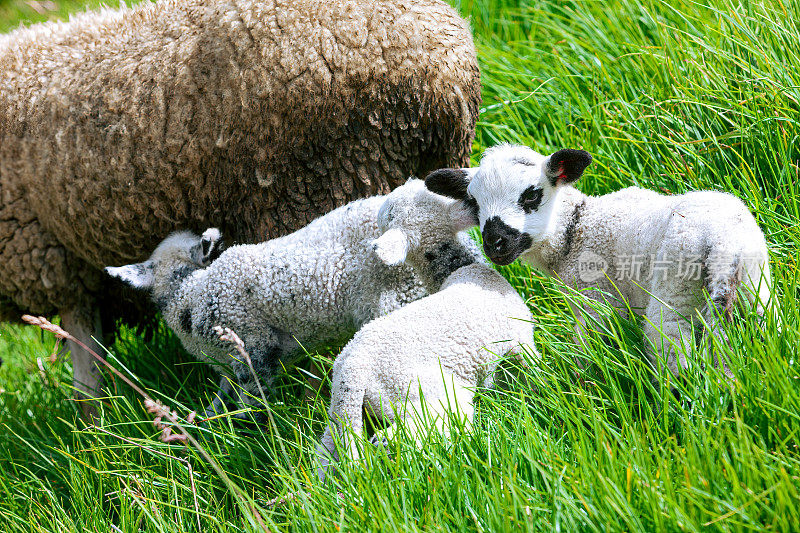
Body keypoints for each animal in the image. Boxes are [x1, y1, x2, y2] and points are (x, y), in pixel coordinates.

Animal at [107, 195, 438, 416]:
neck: (190, 295)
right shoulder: (229, 363)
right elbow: (222, 397)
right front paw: (206, 423)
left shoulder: (254, 346)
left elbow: (253, 401)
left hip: (399, 292)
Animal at [316, 181, 536, 480]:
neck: (458, 269)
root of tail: (353, 370)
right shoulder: (521, 339)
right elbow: (531, 371)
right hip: (423, 394)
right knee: (411, 434)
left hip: (341, 412)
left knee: (329, 453)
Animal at [424, 143, 776, 380]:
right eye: (473, 202)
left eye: (531, 195)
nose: (495, 244)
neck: (575, 230)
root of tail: (723, 245)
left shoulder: (596, 301)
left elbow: (586, 351)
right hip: (755, 287)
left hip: (676, 292)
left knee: (676, 354)